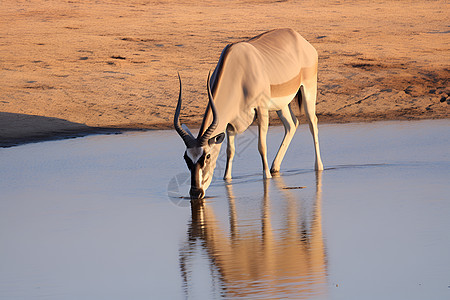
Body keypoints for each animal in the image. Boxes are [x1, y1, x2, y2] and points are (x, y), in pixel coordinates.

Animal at [173, 28, 324, 199]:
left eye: (207, 156)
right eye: (186, 157)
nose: (195, 192)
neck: (239, 71)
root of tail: (298, 37)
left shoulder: (261, 109)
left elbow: (261, 146)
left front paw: (266, 176)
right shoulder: (230, 123)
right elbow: (230, 151)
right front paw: (227, 179)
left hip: (308, 91)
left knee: (312, 123)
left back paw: (318, 167)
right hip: (282, 105)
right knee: (292, 124)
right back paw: (275, 167)